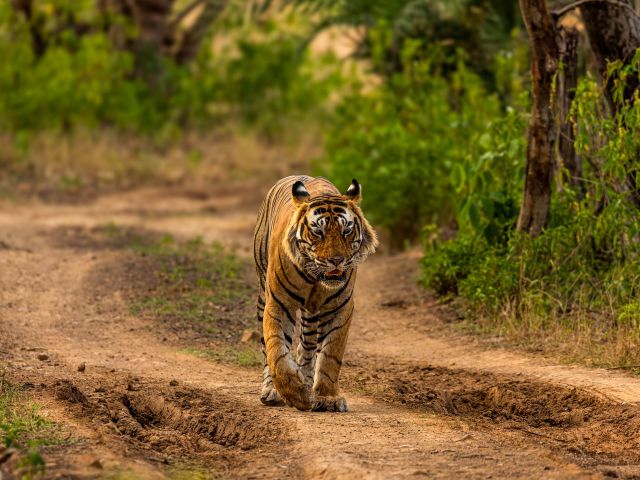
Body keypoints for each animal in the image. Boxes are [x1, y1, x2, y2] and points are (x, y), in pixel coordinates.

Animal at [253, 175, 378, 411]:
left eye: (346, 231)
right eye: (318, 232)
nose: (336, 260)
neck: (315, 278)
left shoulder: (341, 308)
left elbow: (330, 356)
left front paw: (328, 398)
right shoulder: (279, 304)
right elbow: (277, 351)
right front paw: (296, 394)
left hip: (311, 313)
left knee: (308, 347)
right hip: (263, 292)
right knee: (267, 347)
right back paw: (272, 391)